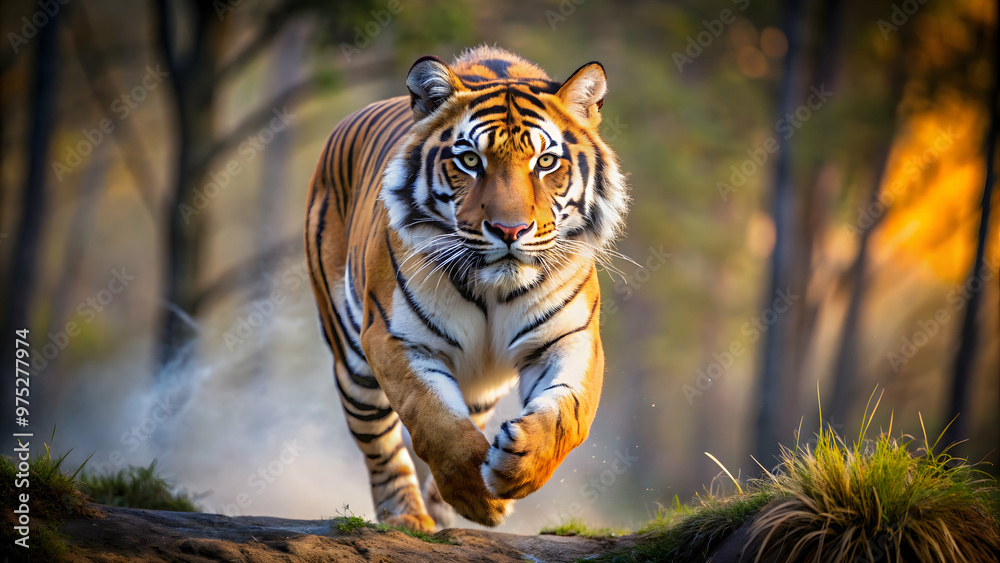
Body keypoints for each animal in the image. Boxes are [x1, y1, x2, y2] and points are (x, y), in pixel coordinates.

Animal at [304, 45, 628, 532]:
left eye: (545, 162)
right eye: (471, 161)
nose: (510, 230)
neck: (494, 289)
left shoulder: (570, 338)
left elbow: (569, 416)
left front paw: (517, 468)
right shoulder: (395, 337)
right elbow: (433, 417)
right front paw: (479, 497)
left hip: (481, 388)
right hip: (354, 363)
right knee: (381, 447)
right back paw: (407, 517)